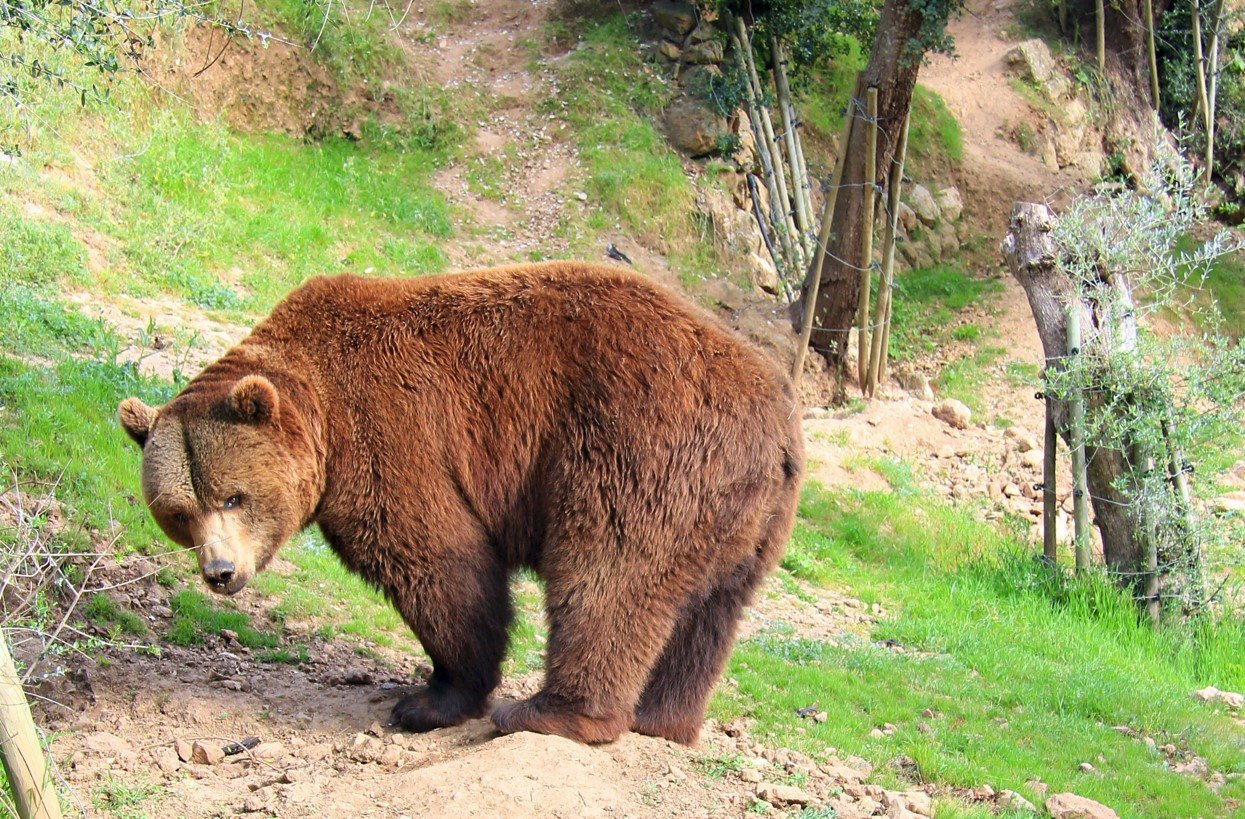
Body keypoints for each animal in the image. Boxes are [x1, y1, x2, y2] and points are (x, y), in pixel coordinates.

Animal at [118, 261, 803, 746]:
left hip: (640, 446)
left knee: (607, 576)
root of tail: (775, 418)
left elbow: (439, 561)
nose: (220, 572)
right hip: (747, 513)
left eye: (234, 496)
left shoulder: (391, 433)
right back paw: (663, 719)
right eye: (179, 513)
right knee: (710, 613)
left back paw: (550, 712)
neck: (322, 414)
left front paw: (431, 699)